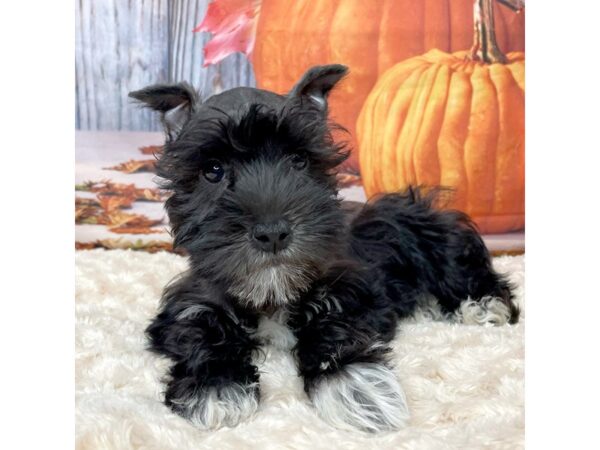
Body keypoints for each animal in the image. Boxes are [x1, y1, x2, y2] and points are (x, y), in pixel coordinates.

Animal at [129, 65, 516, 434]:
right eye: (213, 170)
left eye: (299, 161)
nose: (272, 233)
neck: (272, 295)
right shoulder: (191, 303)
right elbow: (202, 332)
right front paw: (215, 387)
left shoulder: (354, 291)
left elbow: (334, 329)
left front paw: (356, 387)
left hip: (437, 238)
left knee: (465, 269)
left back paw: (483, 305)